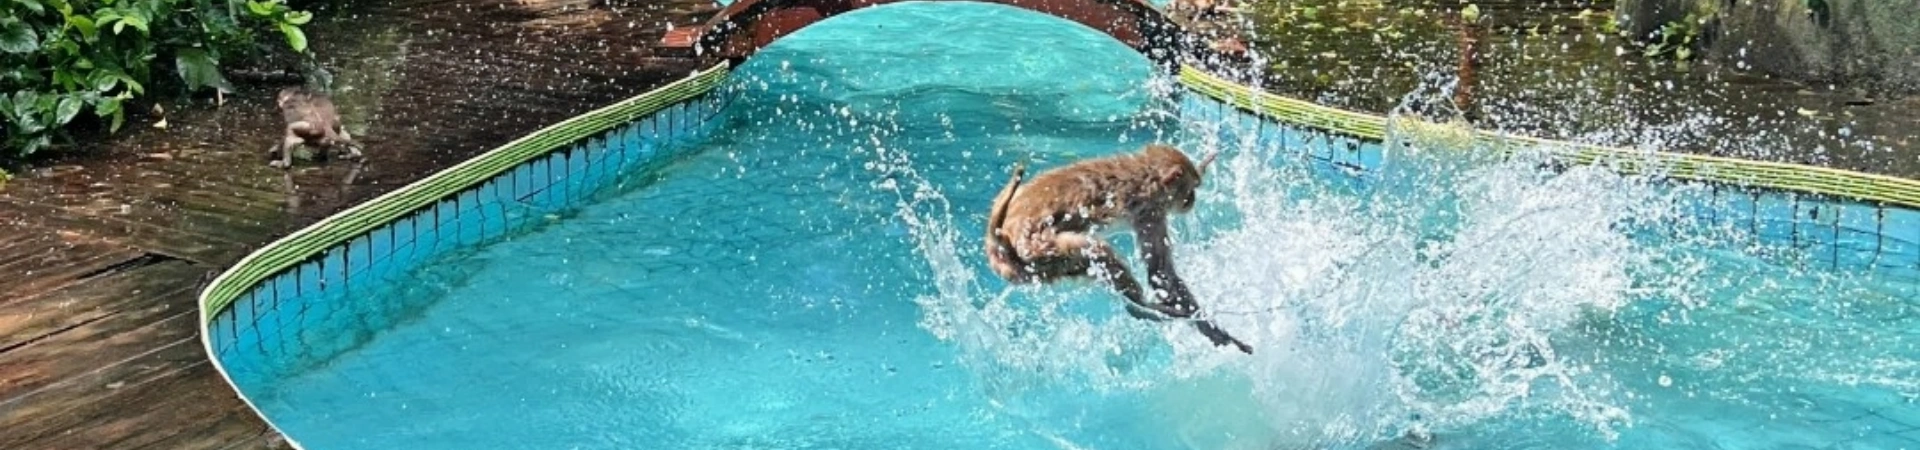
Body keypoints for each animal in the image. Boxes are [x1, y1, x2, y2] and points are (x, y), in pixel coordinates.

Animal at [984, 144, 1253, 354]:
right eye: (1190, 190)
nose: (1192, 201)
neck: (1147, 174)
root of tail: (998, 246)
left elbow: (1160, 273)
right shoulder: (1151, 209)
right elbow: (1160, 273)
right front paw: (1212, 328)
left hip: (1038, 266)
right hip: (1040, 248)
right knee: (1096, 250)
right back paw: (1144, 306)